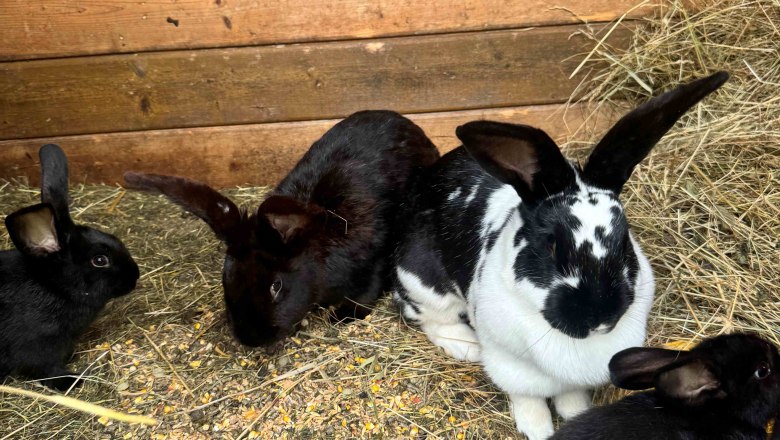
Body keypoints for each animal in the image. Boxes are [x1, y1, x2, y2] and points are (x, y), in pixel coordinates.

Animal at [0, 144, 140, 391]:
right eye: (100, 260)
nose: (135, 276)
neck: (54, 288)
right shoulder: (38, 348)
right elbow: (47, 371)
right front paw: (72, 380)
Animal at [124, 110, 440, 348]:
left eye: (276, 286)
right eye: (226, 281)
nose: (251, 339)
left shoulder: (374, 257)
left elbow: (366, 290)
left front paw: (344, 317)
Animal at [391, 71, 729, 440]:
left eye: (624, 242)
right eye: (551, 246)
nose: (600, 318)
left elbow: (570, 395)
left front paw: (574, 412)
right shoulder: (510, 364)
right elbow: (528, 400)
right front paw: (537, 429)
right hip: (423, 282)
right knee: (430, 318)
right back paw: (465, 346)